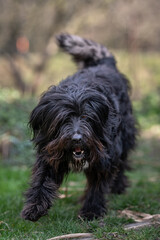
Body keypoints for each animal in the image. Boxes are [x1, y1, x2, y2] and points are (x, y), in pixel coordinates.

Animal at [21, 33, 136, 221]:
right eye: (63, 120)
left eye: (86, 118)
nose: (77, 139)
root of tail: (104, 63)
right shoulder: (50, 150)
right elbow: (42, 178)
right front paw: (35, 206)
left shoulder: (105, 154)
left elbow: (98, 184)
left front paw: (92, 211)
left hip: (124, 134)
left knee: (122, 161)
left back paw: (117, 186)